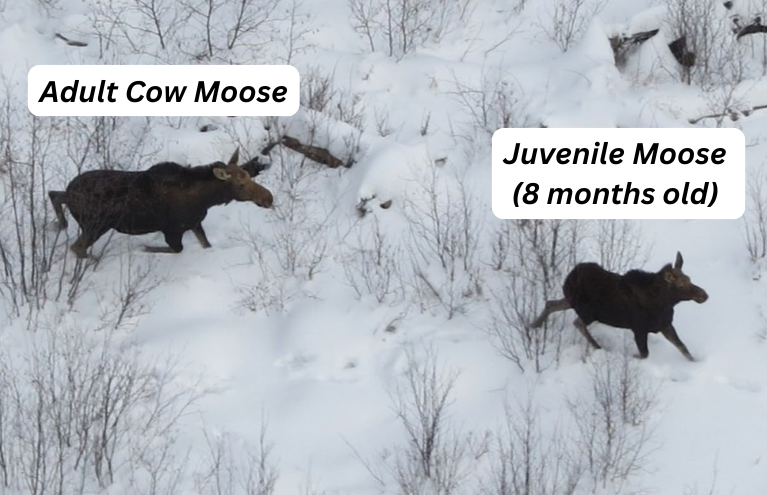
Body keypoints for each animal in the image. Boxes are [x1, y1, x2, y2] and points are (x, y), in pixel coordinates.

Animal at [48, 148, 273, 258]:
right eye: (241, 185)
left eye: (249, 177)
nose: (268, 198)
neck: (207, 199)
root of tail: (71, 192)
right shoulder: (173, 230)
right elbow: (176, 249)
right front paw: (146, 248)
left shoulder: (194, 223)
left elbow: (206, 244)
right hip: (96, 226)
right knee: (76, 247)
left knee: (54, 194)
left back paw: (61, 224)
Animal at [530, 252, 709, 361]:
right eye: (680, 285)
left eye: (689, 278)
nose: (704, 295)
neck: (664, 304)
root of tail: (570, 277)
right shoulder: (639, 328)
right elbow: (644, 354)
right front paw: (631, 356)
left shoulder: (665, 325)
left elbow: (683, 348)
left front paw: (695, 362)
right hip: (588, 312)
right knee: (577, 322)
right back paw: (598, 346)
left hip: (572, 301)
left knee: (551, 303)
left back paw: (533, 325)